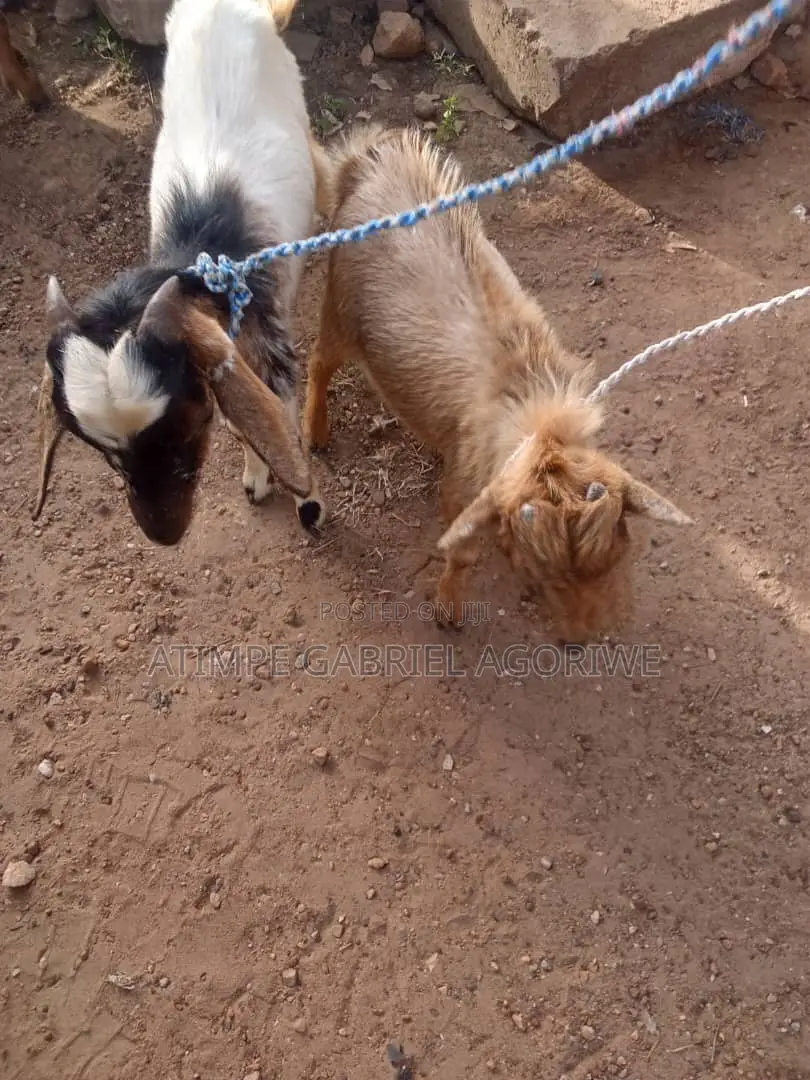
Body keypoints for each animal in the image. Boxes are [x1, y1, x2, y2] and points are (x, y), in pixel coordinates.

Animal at [34, 0, 329, 545]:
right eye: (107, 455)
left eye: (188, 426)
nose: (164, 534)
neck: (206, 255)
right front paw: (257, 476)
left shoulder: (270, 343)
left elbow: (278, 412)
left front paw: (308, 504)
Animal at [304, 126, 693, 638]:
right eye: (542, 573)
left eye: (614, 554)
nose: (581, 639)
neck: (531, 400)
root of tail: (365, 165)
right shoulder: (465, 490)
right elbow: (462, 552)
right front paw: (448, 610)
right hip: (339, 310)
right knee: (317, 363)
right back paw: (315, 432)